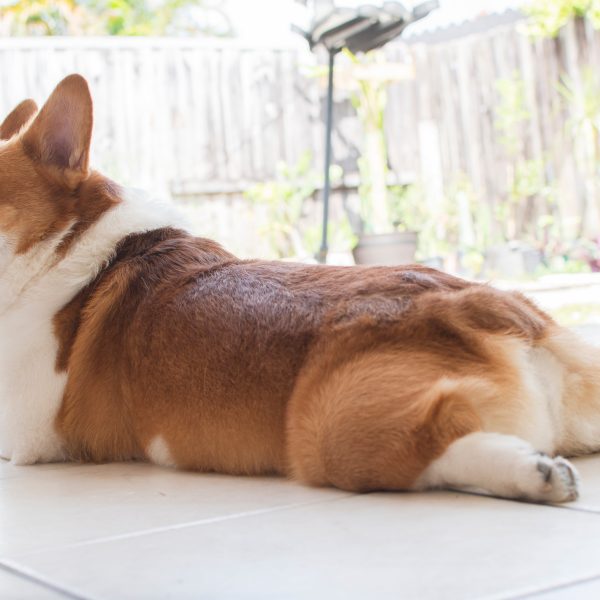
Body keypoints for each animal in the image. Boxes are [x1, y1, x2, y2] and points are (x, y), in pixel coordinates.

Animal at [1, 76, 600, 506]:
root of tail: (490, 305)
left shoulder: (25, 433)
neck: (62, 245)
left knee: (425, 449)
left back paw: (530, 474)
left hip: (327, 423)